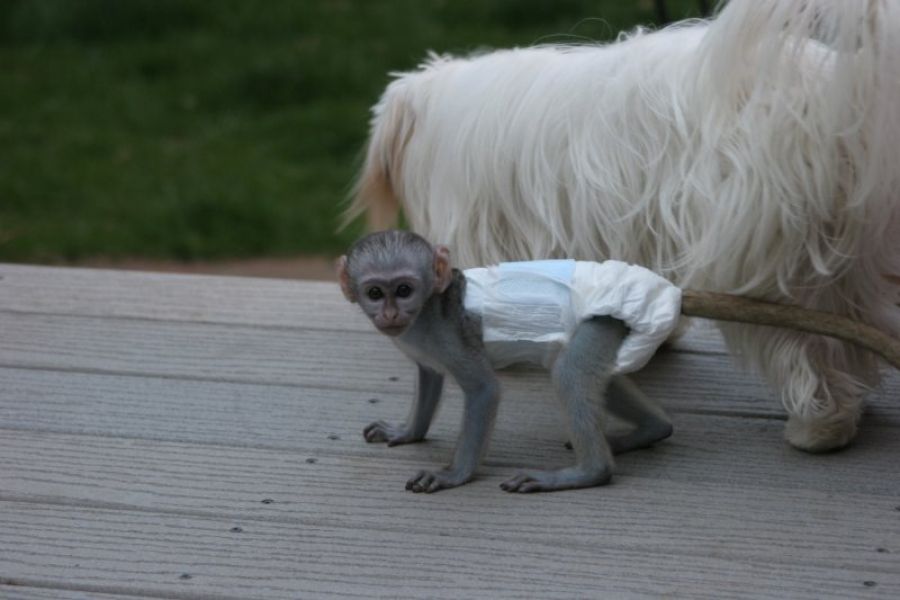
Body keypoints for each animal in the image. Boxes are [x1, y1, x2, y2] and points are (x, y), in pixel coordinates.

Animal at [337, 229, 674, 493]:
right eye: (375, 293)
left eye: (404, 290)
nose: (390, 314)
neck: (427, 308)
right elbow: (430, 374)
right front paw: (407, 433)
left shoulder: (447, 334)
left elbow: (484, 390)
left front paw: (453, 475)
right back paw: (650, 430)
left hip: (602, 320)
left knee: (569, 371)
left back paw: (590, 471)